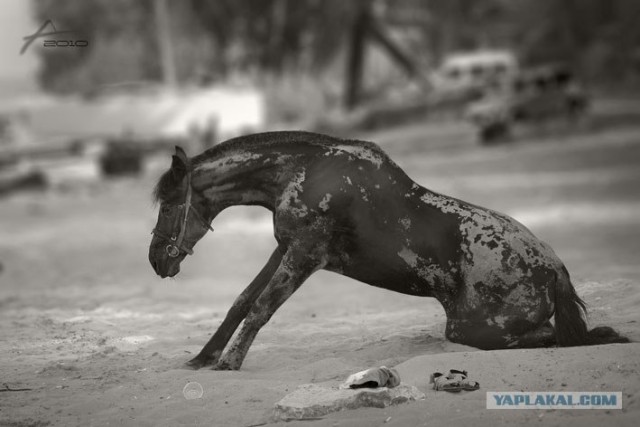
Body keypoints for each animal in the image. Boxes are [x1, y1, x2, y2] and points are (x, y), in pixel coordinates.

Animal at [148, 130, 628, 372]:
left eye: (169, 205)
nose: (157, 260)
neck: (307, 171)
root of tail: (555, 269)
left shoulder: (304, 254)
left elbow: (262, 307)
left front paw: (229, 363)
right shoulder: (284, 249)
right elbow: (242, 301)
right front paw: (203, 357)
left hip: (473, 329)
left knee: (557, 337)